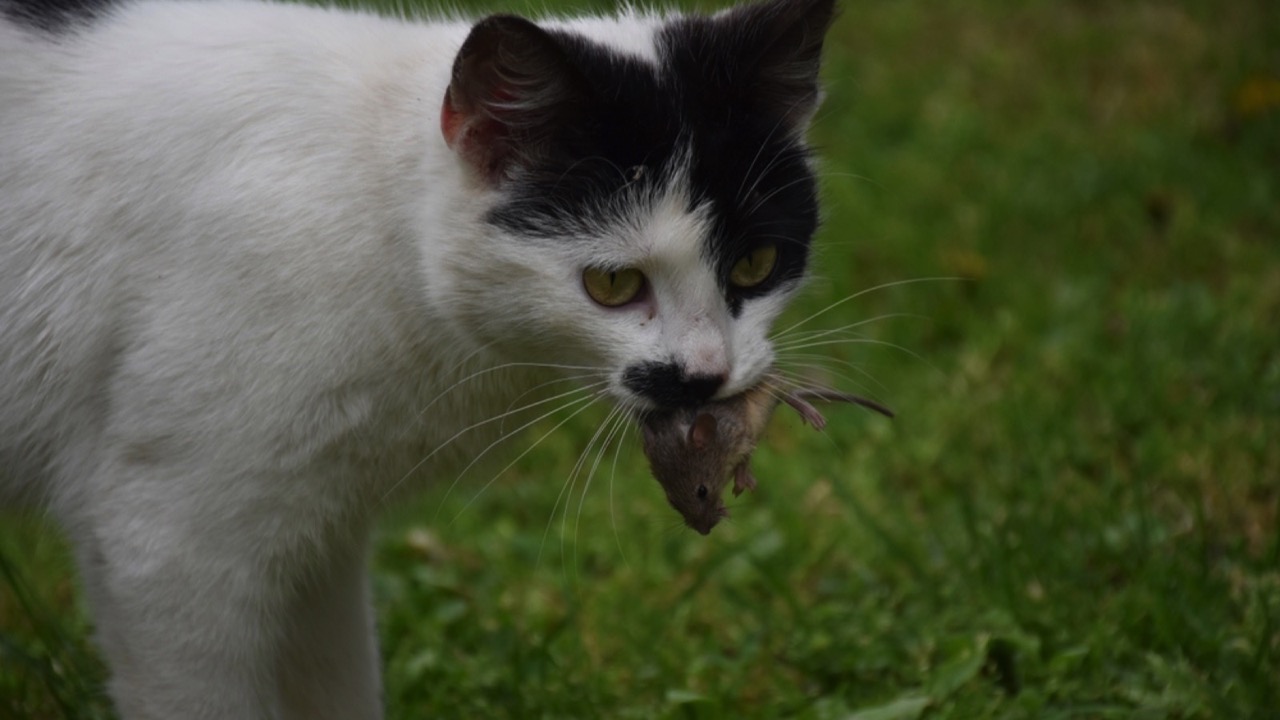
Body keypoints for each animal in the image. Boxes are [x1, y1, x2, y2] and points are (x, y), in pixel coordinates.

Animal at [0, 0, 834, 712]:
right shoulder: (165, 544)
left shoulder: (319, 542)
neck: (374, 212)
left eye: (756, 265)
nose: (707, 374)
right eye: (613, 283)